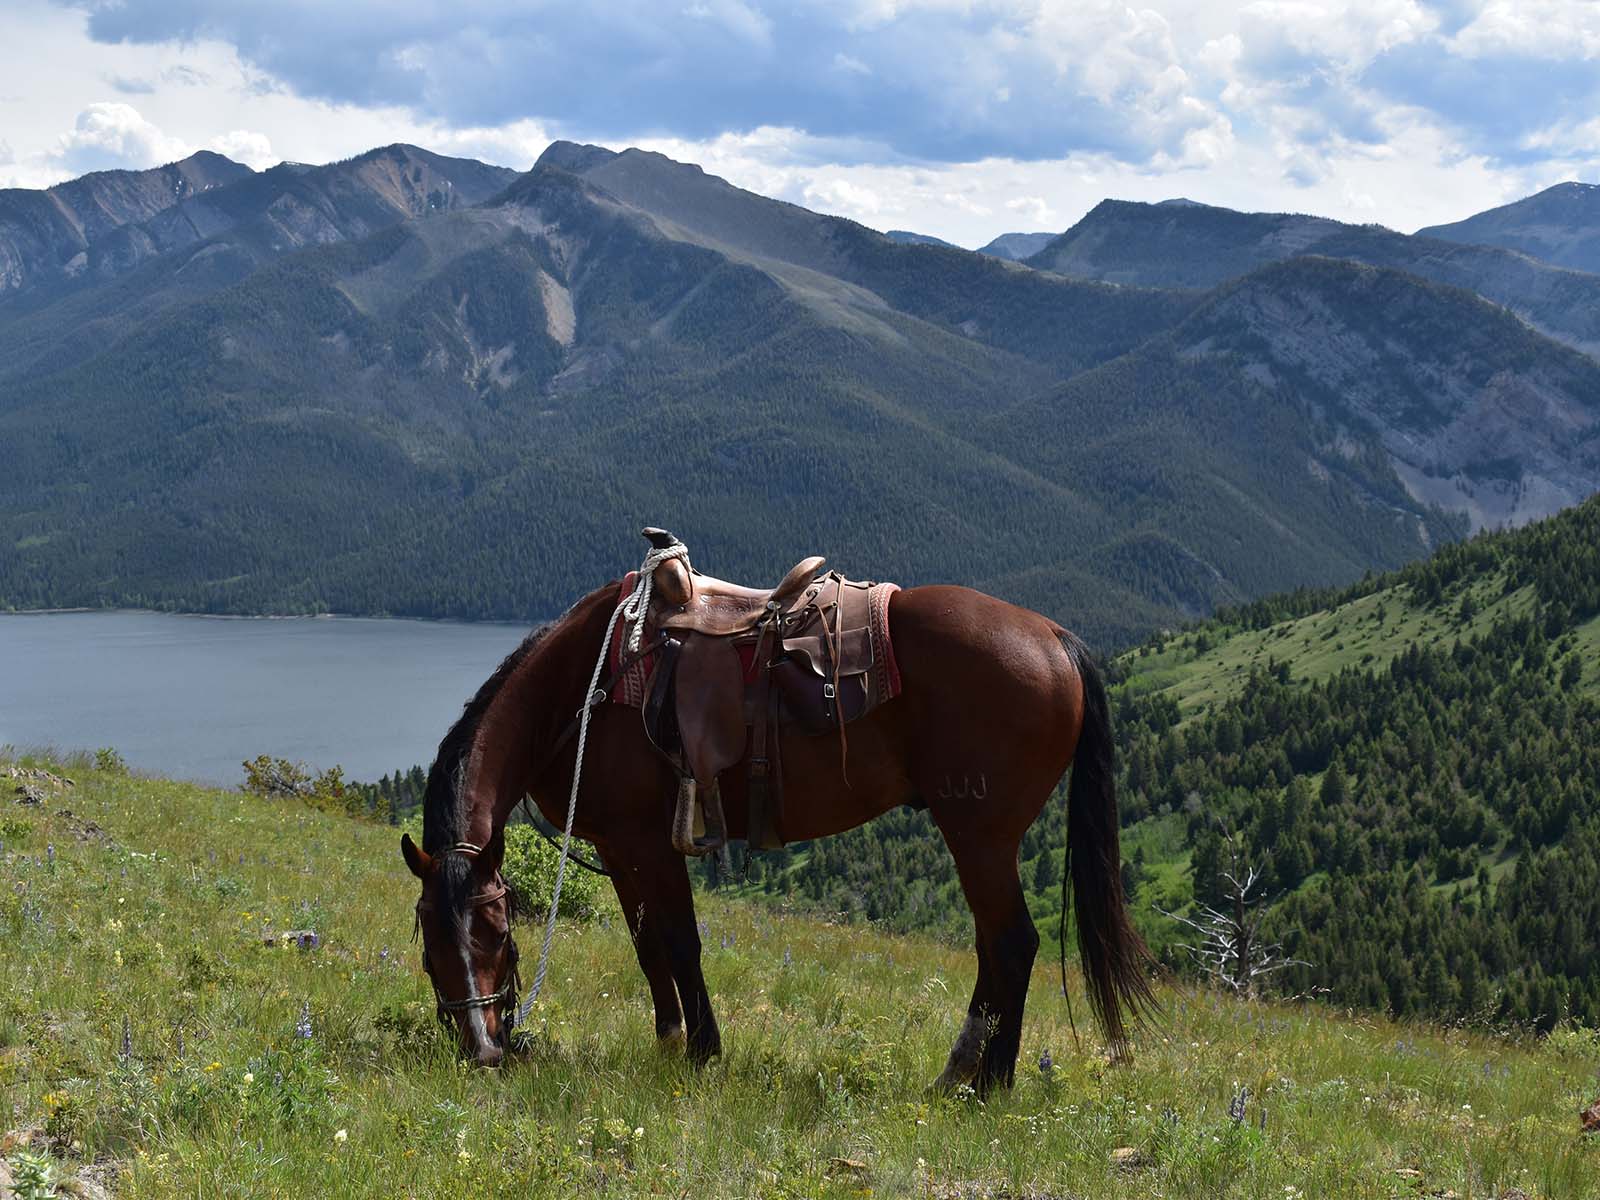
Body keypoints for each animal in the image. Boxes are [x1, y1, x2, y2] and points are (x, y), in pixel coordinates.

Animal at [400, 563, 1152, 1088]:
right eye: (430, 943)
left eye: (496, 932)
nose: (485, 1051)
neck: (582, 690)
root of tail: (1053, 637)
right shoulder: (616, 847)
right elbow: (647, 948)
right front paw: (668, 1041)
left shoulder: (650, 843)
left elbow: (681, 943)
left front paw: (702, 1054)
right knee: (995, 949)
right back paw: (958, 1074)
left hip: (980, 837)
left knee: (1012, 944)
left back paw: (988, 1084)